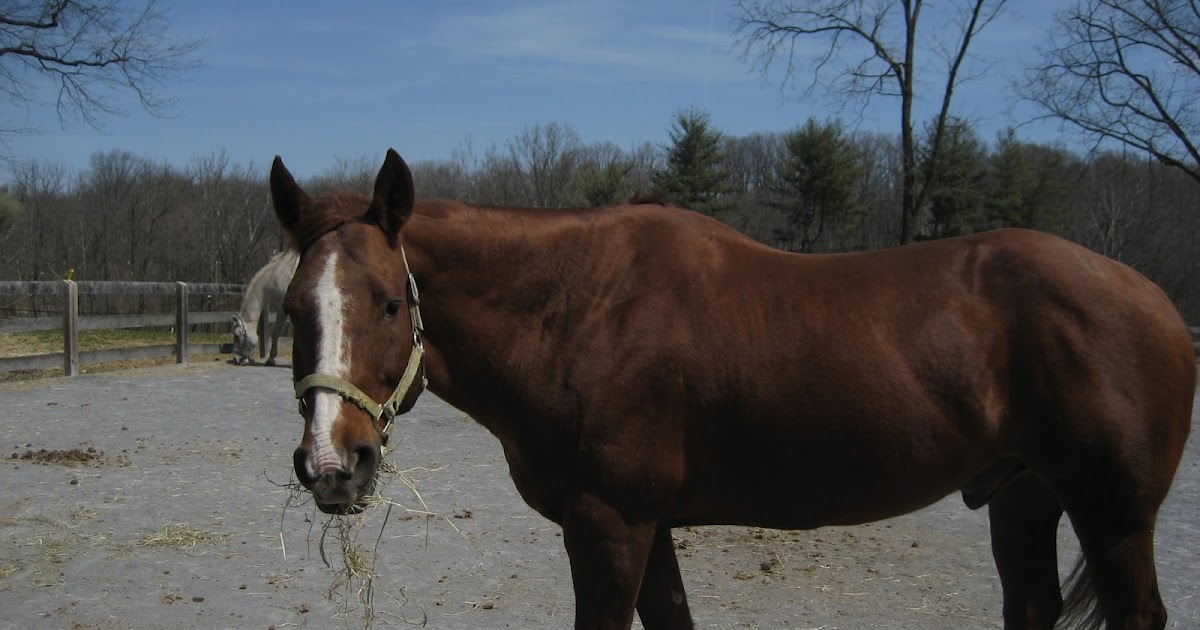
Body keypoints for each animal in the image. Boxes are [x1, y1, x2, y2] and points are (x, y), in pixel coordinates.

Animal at [271, 149, 1194, 630]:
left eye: (390, 303)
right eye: (290, 308)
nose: (332, 466)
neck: (580, 308)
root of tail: (1154, 298)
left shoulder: (611, 525)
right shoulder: (646, 527)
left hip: (1113, 516)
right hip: (1025, 498)